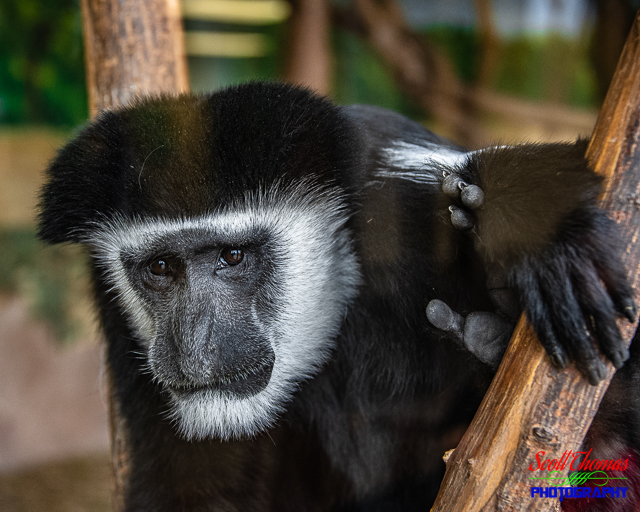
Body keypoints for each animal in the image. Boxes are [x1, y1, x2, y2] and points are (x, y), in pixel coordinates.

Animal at [38, 81, 638, 511]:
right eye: (160, 268)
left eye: (233, 257)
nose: (193, 345)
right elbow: (193, 483)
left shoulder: (404, 201)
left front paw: (536, 216)